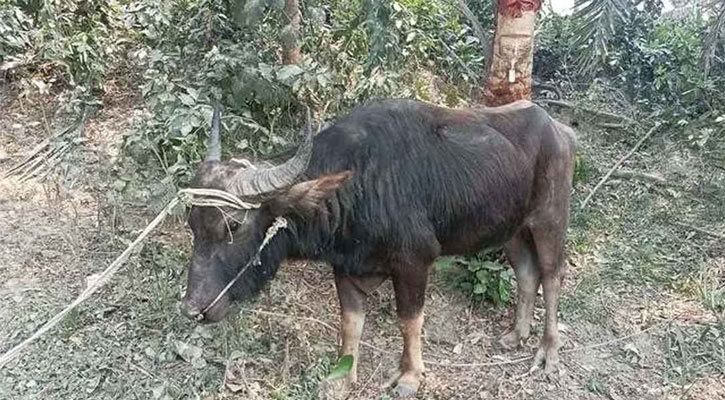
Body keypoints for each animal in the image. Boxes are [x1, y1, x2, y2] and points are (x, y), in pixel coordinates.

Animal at [181, 99, 576, 396]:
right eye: (192, 224)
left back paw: (548, 351)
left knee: (552, 278)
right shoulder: (346, 267)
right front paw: (343, 376)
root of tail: (560, 130)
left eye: (233, 225)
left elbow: (409, 320)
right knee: (527, 274)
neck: (356, 187)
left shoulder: (414, 263)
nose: (193, 309)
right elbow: (351, 323)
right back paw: (517, 335)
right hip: (513, 231)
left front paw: (410, 376)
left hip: (550, 220)